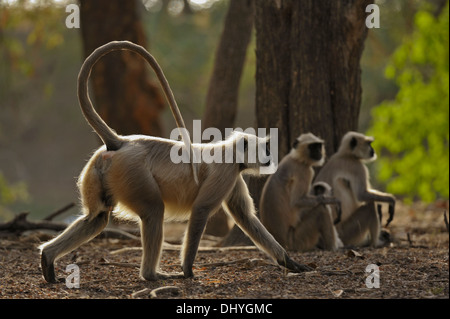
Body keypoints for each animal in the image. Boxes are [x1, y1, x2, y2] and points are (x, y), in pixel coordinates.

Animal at [38, 41, 310, 284]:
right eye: (265, 148)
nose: (270, 156)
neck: (228, 152)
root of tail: (121, 142)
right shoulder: (226, 171)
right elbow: (201, 209)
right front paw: (188, 270)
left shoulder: (234, 175)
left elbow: (246, 218)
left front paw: (289, 262)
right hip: (132, 173)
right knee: (153, 211)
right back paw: (151, 274)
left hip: (99, 170)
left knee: (97, 217)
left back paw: (48, 258)